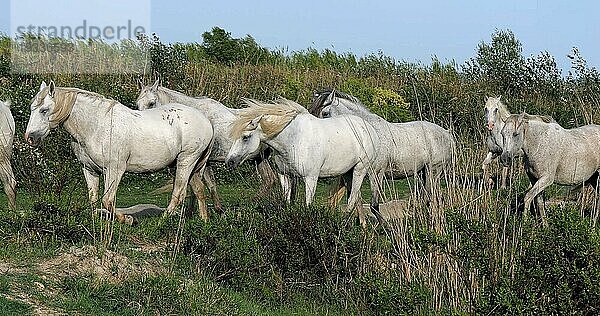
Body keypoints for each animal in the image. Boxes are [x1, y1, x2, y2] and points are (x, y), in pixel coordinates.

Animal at [25, 81, 214, 220]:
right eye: (32, 108)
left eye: (44, 110)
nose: (30, 137)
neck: (97, 126)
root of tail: (206, 121)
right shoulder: (90, 170)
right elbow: (93, 199)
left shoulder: (114, 169)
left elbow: (107, 200)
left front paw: (127, 220)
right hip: (187, 166)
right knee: (199, 190)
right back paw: (204, 221)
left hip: (185, 162)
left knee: (179, 193)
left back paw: (162, 221)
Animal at [135, 80, 278, 211]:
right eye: (137, 104)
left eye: (151, 103)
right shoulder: (206, 162)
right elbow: (210, 185)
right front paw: (217, 209)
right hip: (259, 158)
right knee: (269, 179)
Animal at [225, 97, 380, 226]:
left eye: (246, 137)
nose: (229, 162)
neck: (294, 139)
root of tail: (368, 127)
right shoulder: (285, 176)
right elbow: (287, 202)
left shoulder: (311, 178)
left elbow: (308, 205)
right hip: (348, 173)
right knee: (357, 198)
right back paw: (363, 228)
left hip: (360, 170)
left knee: (352, 200)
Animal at [310, 88, 454, 210]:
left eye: (325, 113)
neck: (368, 131)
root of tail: (447, 133)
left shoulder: (377, 173)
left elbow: (374, 205)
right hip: (423, 173)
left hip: (432, 172)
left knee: (429, 199)